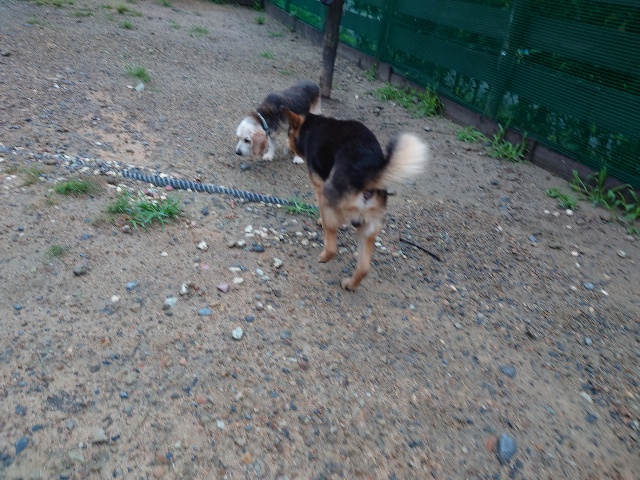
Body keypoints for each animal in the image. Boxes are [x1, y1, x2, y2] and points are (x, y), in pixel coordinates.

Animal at [282, 109, 429, 291]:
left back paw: (323, 256)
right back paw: (350, 285)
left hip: (330, 201)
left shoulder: (319, 187)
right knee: (364, 267)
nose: (285, 143)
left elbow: (321, 212)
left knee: (332, 248)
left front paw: (320, 221)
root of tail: (367, 172)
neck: (311, 126)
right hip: (368, 228)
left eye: (288, 133)